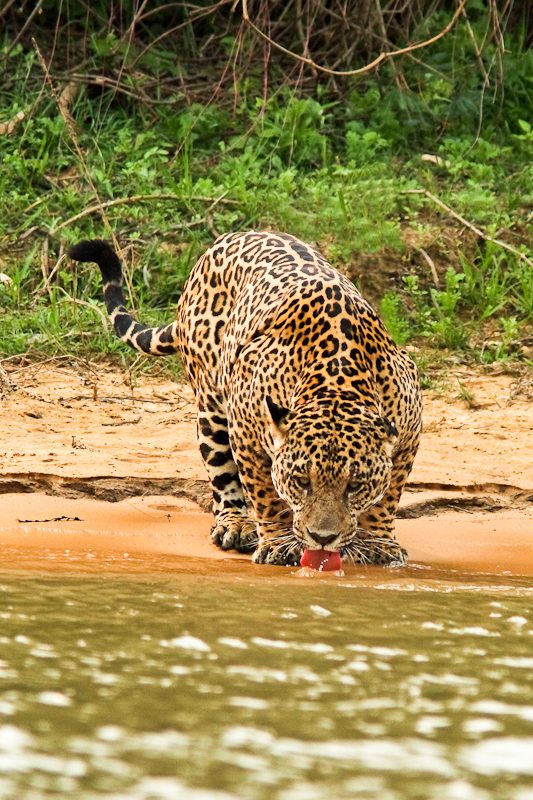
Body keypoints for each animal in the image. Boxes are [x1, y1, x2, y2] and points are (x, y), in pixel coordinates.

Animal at [69, 231, 422, 568]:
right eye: (301, 481)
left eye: (355, 485)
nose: (323, 538)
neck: (337, 380)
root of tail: (223, 241)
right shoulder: (246, 431)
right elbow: (265, 494)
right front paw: (278, 544)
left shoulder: (409, 430)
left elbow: (389, 495)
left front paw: (378, 544)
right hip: (211, 406)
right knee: (221, 472)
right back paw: (235, 524)